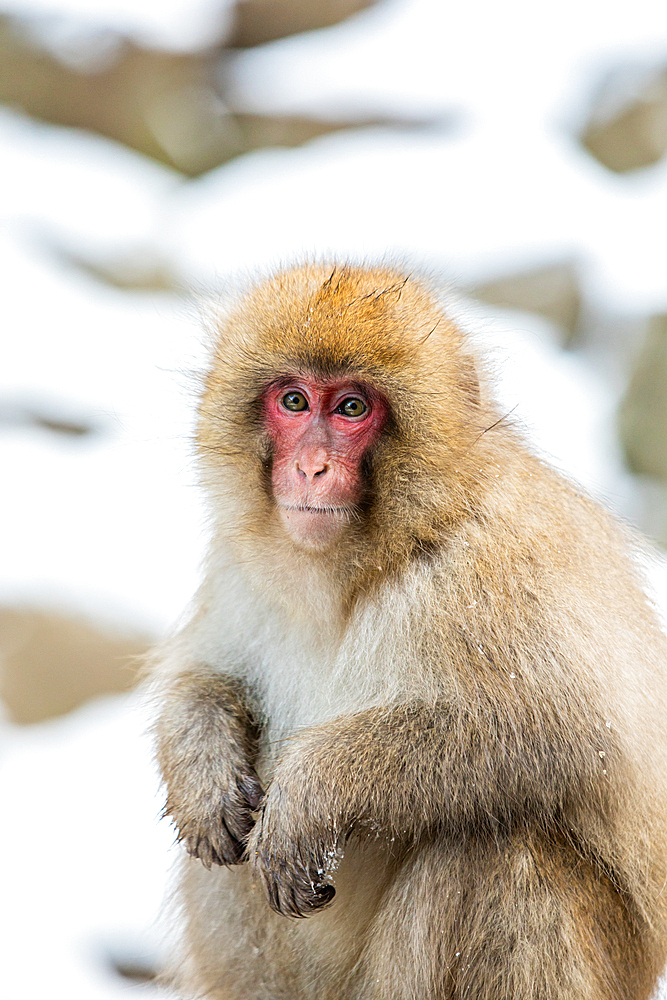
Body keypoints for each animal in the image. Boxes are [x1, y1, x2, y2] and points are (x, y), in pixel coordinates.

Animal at [154, 264, 667, 1000]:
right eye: (292, 400)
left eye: (350, 409)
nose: (310, 467)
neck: (369, 562)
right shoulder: (240, 564)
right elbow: (206, 678)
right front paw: (202, 765)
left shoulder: (489, 567)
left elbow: (560, 732)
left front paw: (310, 791)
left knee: (497, 847)